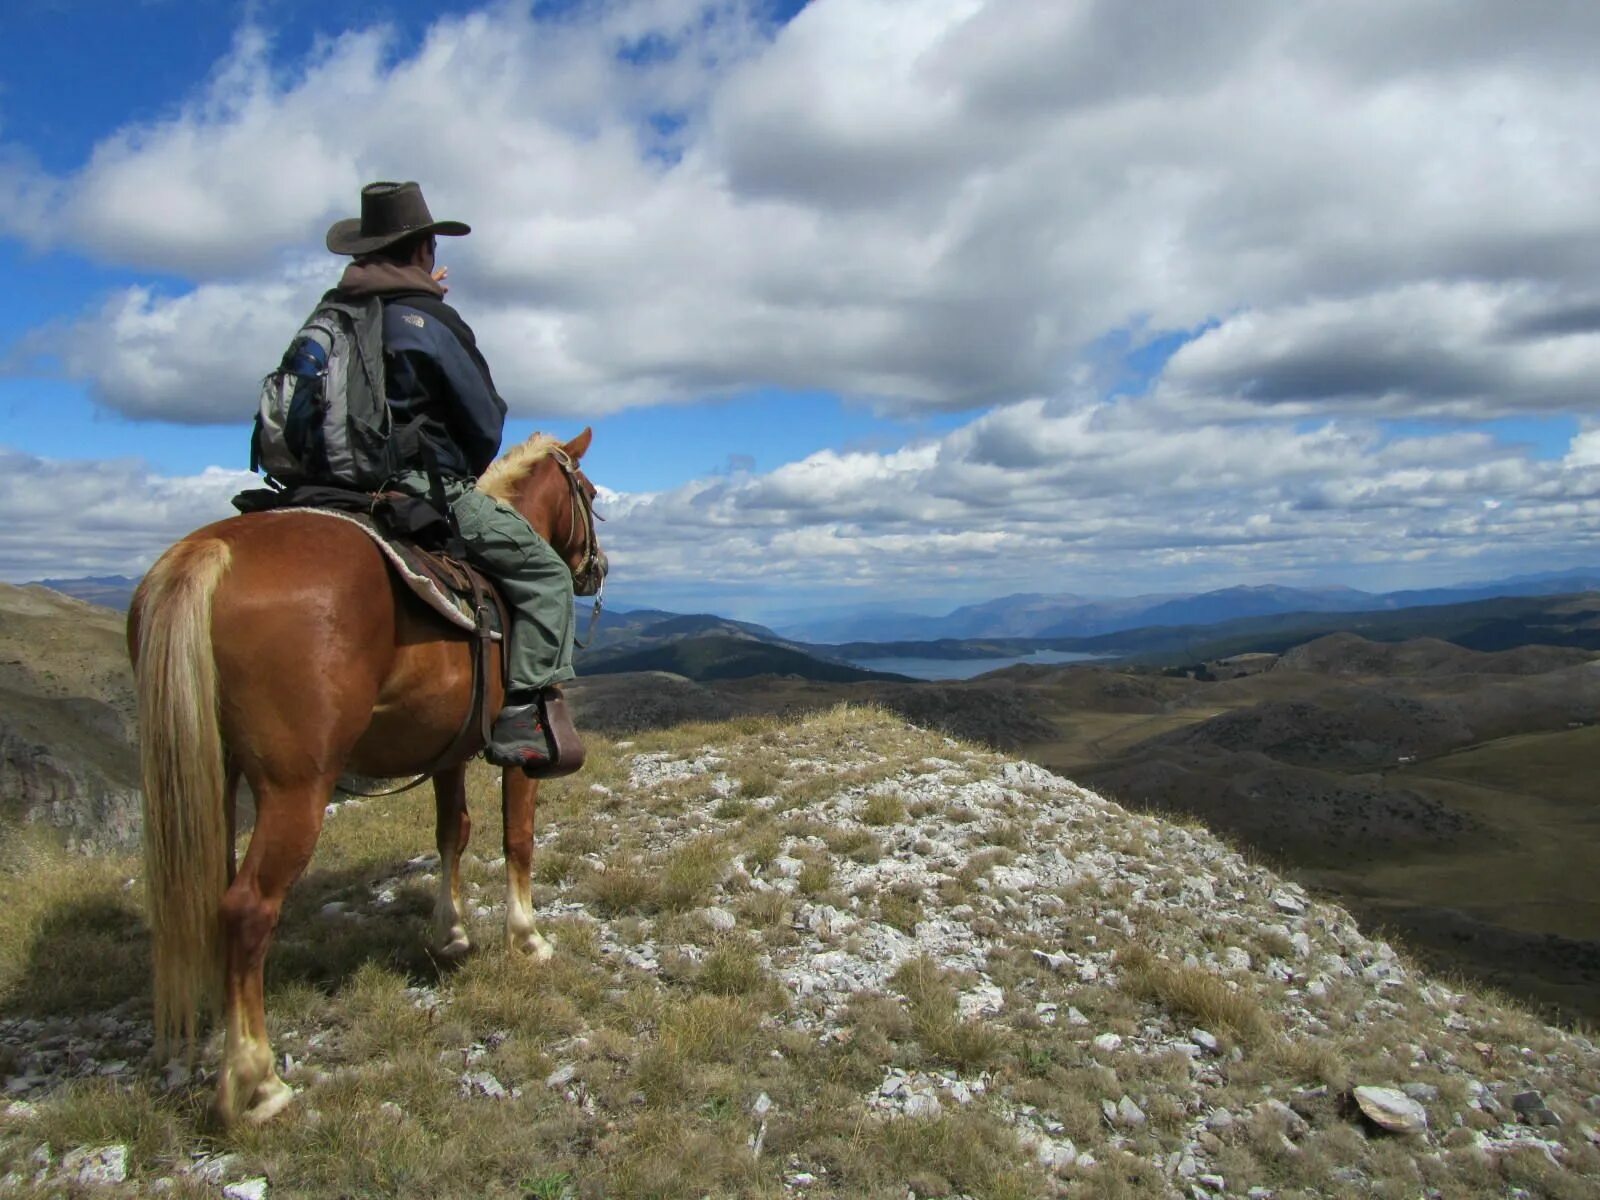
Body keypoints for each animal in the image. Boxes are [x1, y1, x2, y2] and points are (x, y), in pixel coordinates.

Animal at [126, 428, 604, 1126]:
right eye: (589, 493)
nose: (596, 569)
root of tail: (206, 552)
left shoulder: (448, 752)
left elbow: (453, 832)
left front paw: (452, 932)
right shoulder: (525, 755)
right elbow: (517, 838)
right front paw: (527, 938)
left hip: (212, 778)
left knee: (213, 895)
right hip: (296, 787)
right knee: (247, 908)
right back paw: (258, 1082)